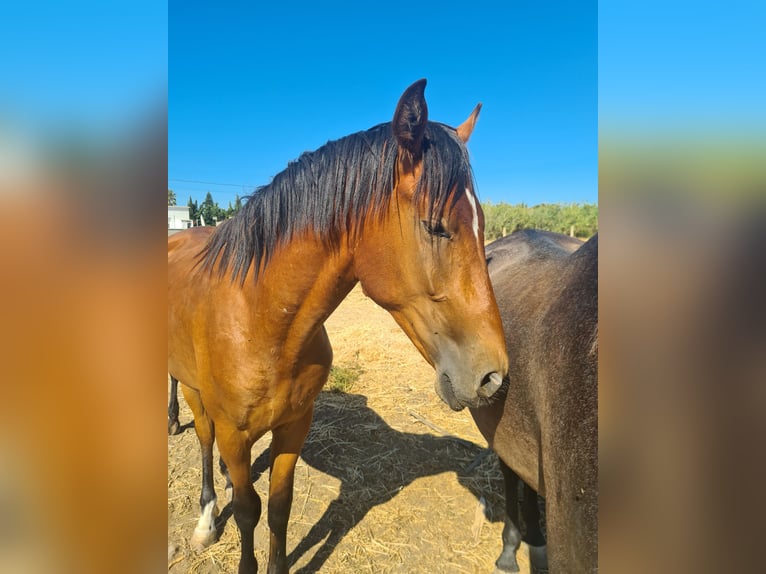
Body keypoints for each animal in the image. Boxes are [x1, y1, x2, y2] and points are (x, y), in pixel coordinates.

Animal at [168, 81, 510, 574]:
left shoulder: (295, 425)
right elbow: (250, 512)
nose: (493, 378)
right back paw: (207, 515)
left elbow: (278, 508)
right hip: (196, 394)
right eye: (435, 226)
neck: (263, 322)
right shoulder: (233, 431)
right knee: (203, 439)